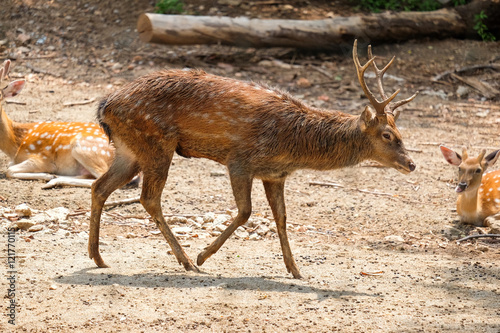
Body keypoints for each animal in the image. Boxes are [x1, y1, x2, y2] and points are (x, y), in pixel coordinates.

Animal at [89, 39, 418, 278]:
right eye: (387, 135)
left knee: (99, 187)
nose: (412, 163)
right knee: (148, 197)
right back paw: (187, 261)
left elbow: (282, 218)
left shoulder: (274, 174)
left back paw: (98, 257)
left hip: (129, 149)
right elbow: (246, 211)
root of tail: (105, 105)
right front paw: (204, 255)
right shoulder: (239, 160)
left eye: (400, 130)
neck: (294, 144)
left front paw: (296, 270)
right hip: (156, 143)